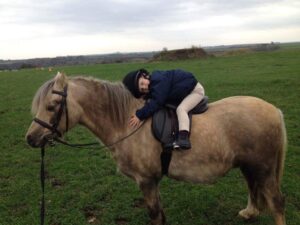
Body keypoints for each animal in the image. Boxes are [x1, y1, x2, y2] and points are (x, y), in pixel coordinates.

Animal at [25, 72, 286, 225]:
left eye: (52, 106)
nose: (31, 138)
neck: (124, 123)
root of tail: (274, 111)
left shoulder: (146, 181)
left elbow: (155, 215)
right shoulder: (153, 181)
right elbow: (160, 214)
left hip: (263, 168)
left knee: (276, 203)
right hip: (249, 165)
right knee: (253, 188)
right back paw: (249, 212)